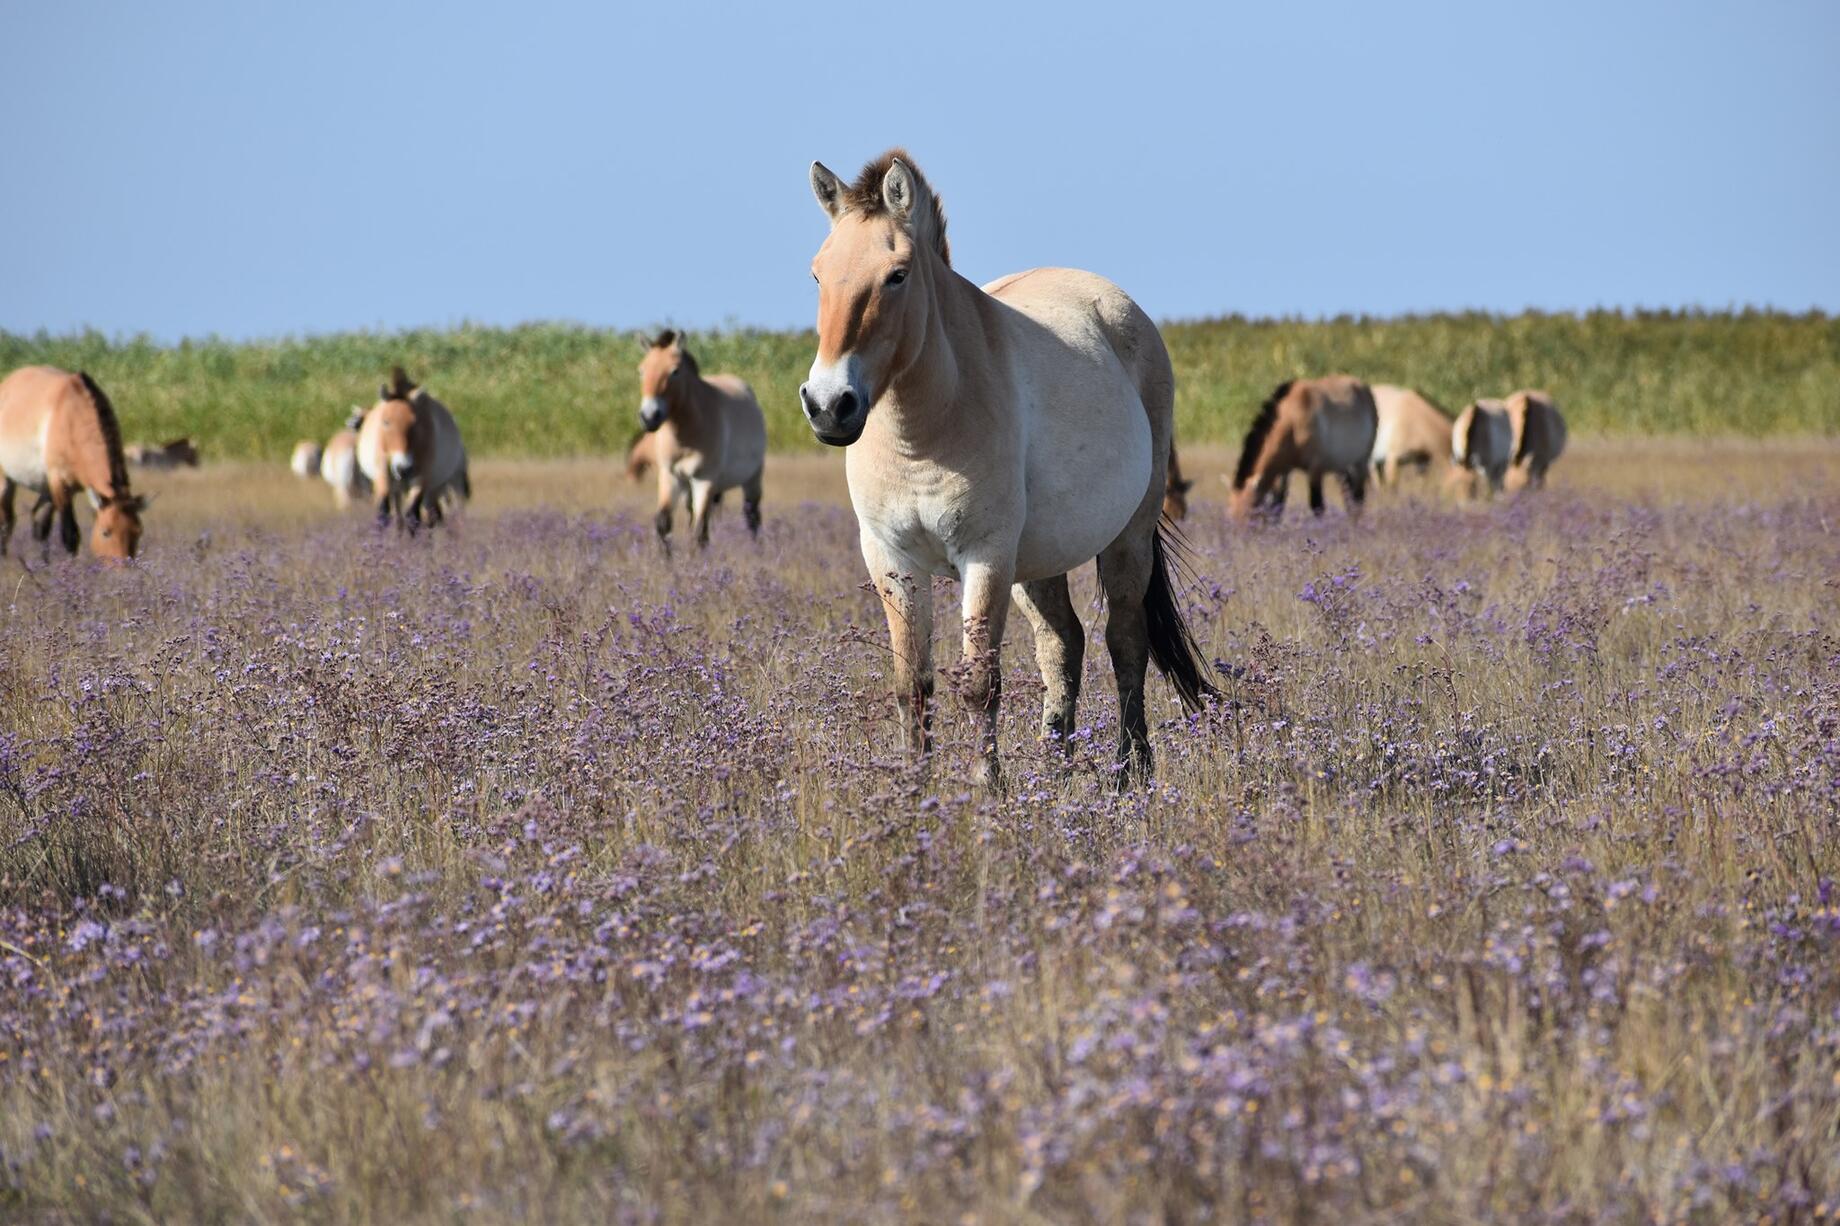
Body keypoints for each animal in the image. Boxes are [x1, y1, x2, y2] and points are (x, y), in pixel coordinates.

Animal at [0, 362, 149, 552]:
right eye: (106, 532)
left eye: (138, 532)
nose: (126, 561)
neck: (72, 420)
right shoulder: (59, 484)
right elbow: (70, 536)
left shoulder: (65, 488)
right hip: (6, 480)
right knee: (7, 522)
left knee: (38, 525)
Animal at [353, 368, 467, 530]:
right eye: (386, 422)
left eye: (415, 422)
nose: (403, 468)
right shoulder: (383, 475)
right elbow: (383, 513)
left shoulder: (421, 479)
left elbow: (413, 516)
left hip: (441, 487)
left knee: (434, 516)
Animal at [636, 329, 765, 548]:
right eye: (642, 371)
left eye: (674, 371)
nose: (649, 417)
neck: (686, 436)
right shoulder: (670, 476)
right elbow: (663, 524)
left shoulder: (704, 479)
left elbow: (700, 533)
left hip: (752, 479)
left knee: (752, 516)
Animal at [798, 150, 1214, 784]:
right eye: (818, 275)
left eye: (897, 275)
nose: (829, 405)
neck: (924, 433)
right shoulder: (892, 561)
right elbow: (912, 687)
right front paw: (916, 793)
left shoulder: (986, 557)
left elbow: (979, 686)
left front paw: (987, 792)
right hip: (1037, 562)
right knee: (1062, 643)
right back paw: (1055, 768)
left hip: (1126, 537)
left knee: (1124, 640)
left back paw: (1130, 774)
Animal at [1229, 371, 1376, 515]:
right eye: (1232, 515)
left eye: (1249, 513)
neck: (1294, 418)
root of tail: (1364, 388)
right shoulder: (1285, 471)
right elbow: (1278, 506)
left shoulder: (1315, 469)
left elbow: (1317, 507)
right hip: (1341, 466)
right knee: (1349, 499)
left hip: (1361, 463)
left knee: (1358, 499)